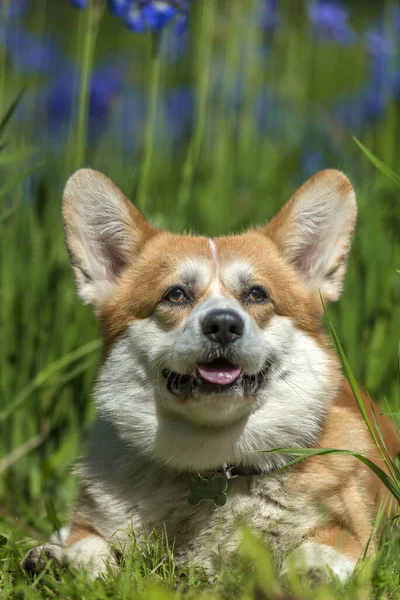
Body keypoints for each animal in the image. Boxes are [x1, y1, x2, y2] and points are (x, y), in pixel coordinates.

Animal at [23, 166, 398, 580]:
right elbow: (90, 545)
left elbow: (314, 551)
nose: (223, 325)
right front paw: (67, 561)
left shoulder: (351, 535)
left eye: (256, 294)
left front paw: (310, 575)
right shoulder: (93, 523)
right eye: (175, 294)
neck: (213, 463)